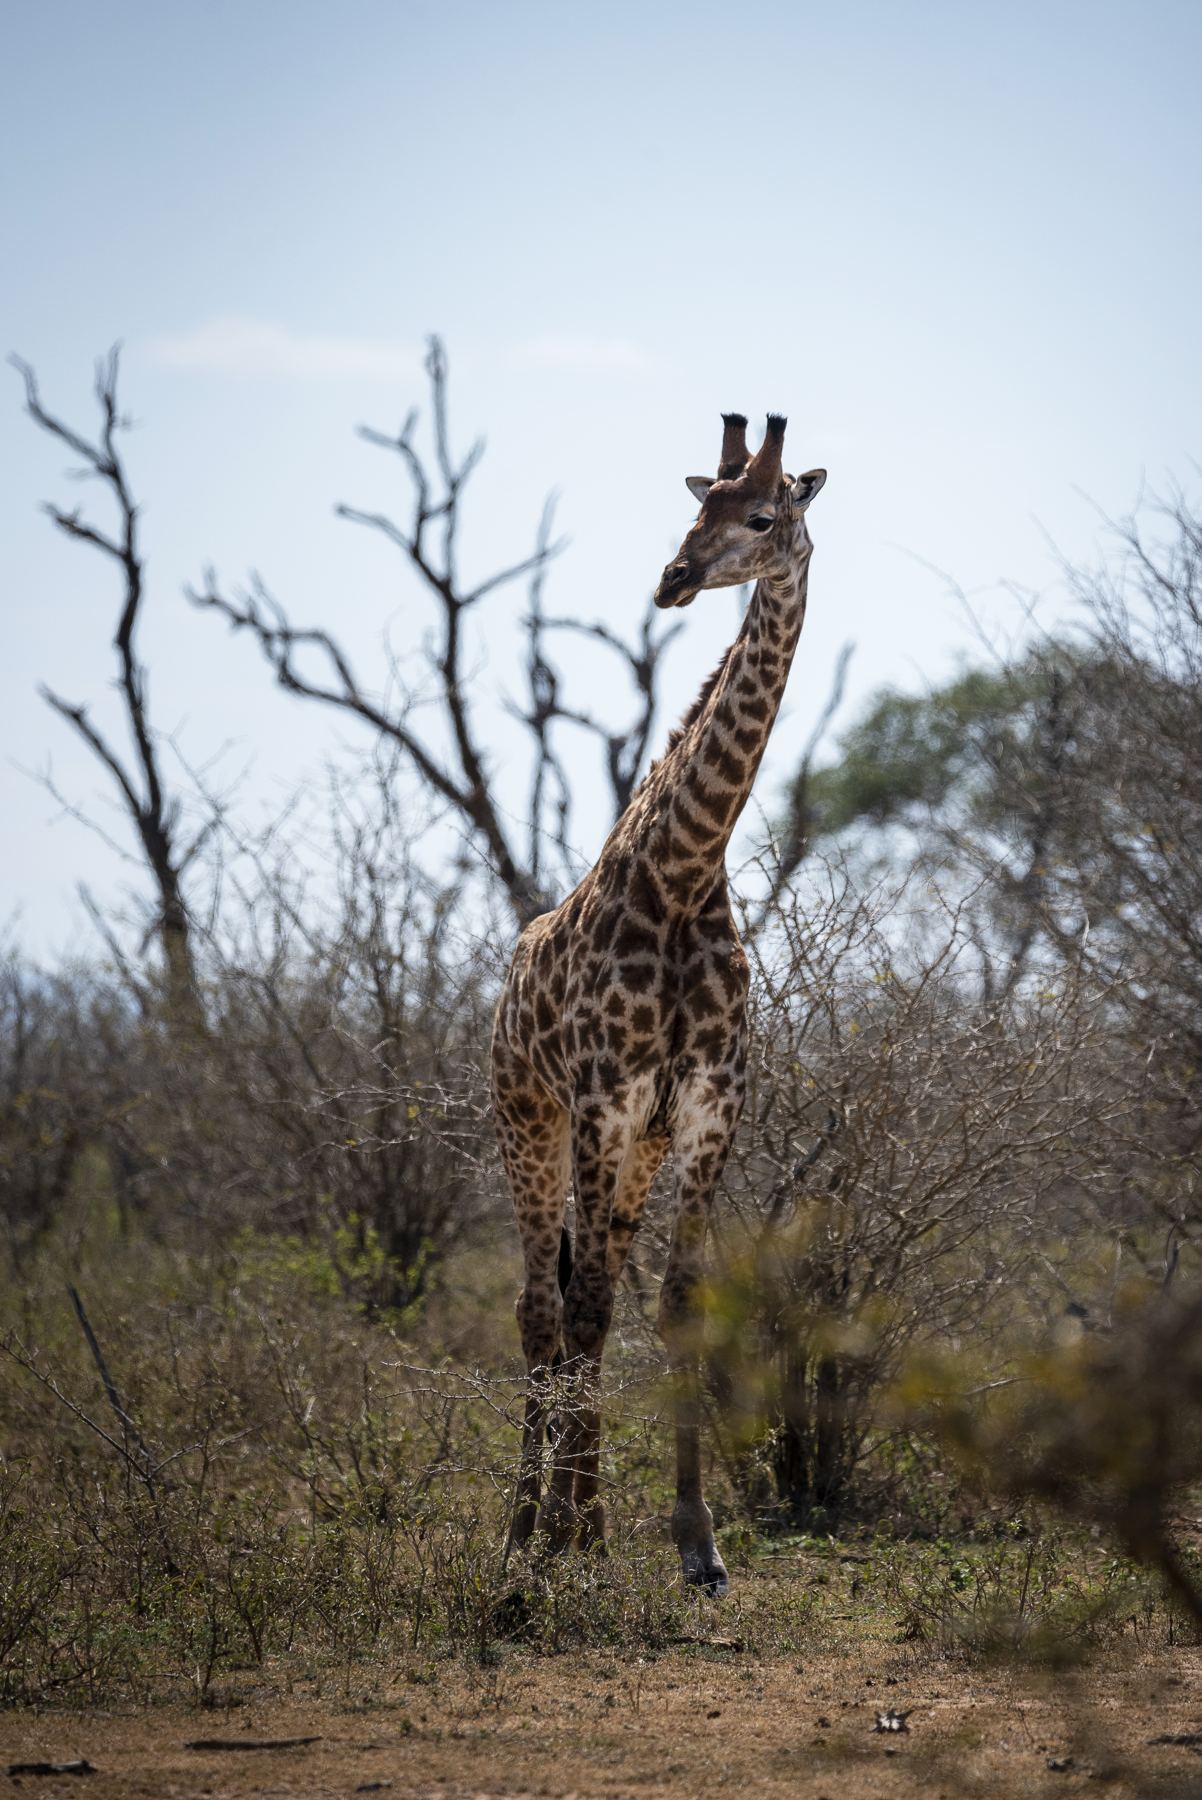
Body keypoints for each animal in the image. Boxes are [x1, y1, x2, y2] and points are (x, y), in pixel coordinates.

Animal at [491, 412, 826, 1594]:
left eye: (763, 515)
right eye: (697, 506)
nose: (673, 579)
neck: (685, 874)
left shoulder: (706, 1106)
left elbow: (677, 1305)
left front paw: (694, 1542)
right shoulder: (601, 1097)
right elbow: (587, 1304)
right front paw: (559, 1538)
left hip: (629, 1148)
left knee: (586, 1292)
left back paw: (582, 1524)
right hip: (528, 1120)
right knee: (544, 1305)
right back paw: (526, 1531)